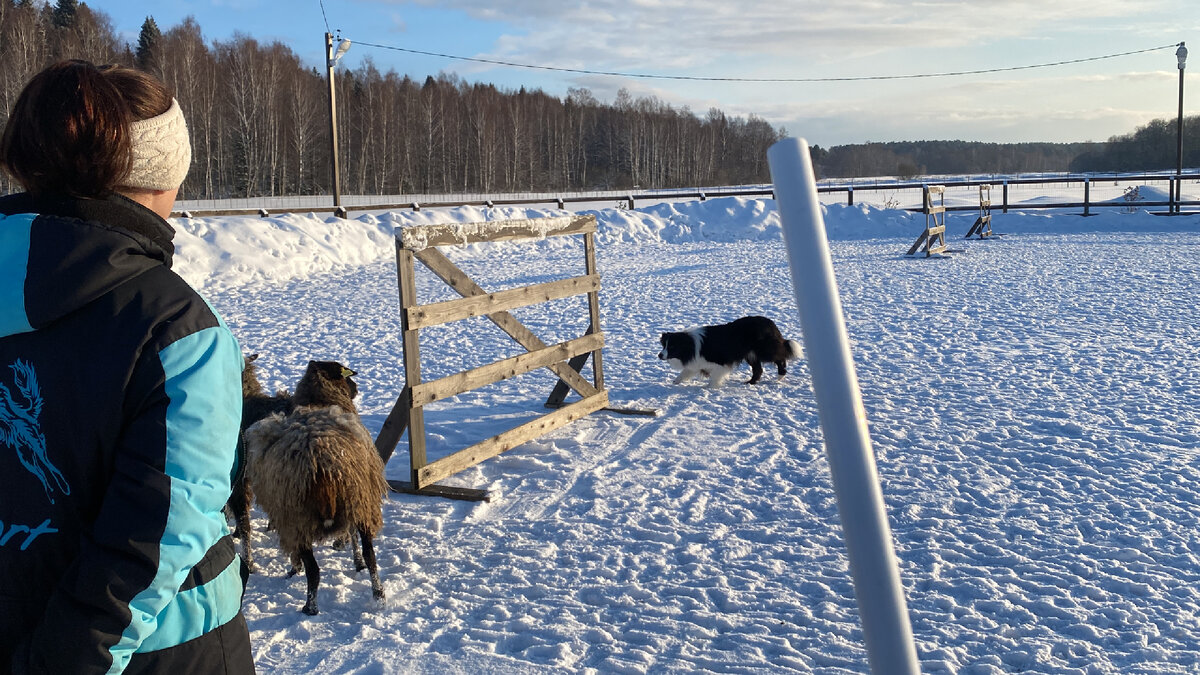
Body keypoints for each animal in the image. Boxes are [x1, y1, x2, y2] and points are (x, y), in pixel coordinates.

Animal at [244, 360, 388, 612]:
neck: (318, 400)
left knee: (314, 569)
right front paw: (356, 561)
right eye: (346, 375)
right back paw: (378, 594)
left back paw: (310, 607)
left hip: (298, 518)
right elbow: (354, 539)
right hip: (361, 502)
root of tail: (321, 462)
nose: (357, 387)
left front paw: (294, 568)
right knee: (371, 555)